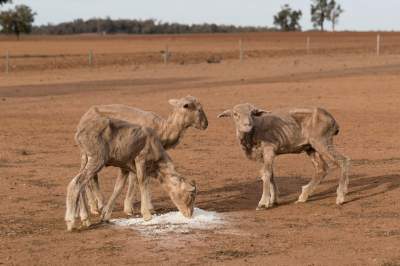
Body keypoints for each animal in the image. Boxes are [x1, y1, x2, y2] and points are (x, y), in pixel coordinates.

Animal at [65, 109, 196, 231]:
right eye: (190, 195)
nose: (190, 215)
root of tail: (79, 133)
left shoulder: (124, 168)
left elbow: (118, 188)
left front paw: (105, 216)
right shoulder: (140, 160)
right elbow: (143, 183)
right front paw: (147, 215)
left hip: (86, 158)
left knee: (81, 185)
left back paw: (85, 219)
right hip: (97, 159)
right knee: (76, 183)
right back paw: (70, 222)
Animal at [219, 104, 350, 210]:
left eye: (252, 113)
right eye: (235, 114)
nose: (247, 125)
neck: (253, 132)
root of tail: (333, 121)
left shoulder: (269, 149)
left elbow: (266, 174)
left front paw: (263, 203)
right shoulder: (264, 156)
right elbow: (270, 174)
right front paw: (273, 200)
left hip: (322, 141)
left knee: (343, 161)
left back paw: (341, 196)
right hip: (310, 147)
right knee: (322, 168)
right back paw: (303, 196)